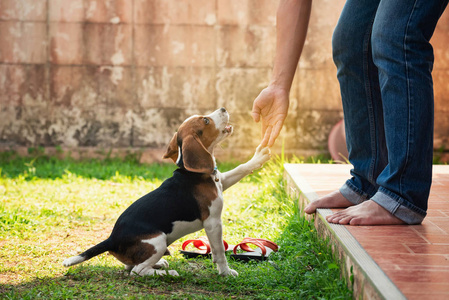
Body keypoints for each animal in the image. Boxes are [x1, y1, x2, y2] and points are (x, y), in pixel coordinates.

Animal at [63, 108, 270, 276]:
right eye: (205, 121)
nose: (223, 108)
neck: (194, 173)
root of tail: (111, 239)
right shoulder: (212, 222)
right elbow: (219, 252)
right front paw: (226, 272)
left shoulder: (222, 181)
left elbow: (240, 169)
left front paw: (258, 157)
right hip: (158, 241)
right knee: (137, 271)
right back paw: (167, 273)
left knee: (130, 266)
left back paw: (160, 264)